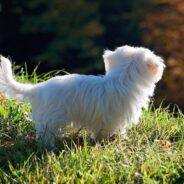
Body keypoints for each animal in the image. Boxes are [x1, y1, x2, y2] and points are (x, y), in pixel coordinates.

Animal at [0, 45, 165, 147]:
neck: (122, 78)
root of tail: (38, 89)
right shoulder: (113, 119)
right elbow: (110, 131)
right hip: (52, 118)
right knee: (46, 134)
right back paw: (50, 146)